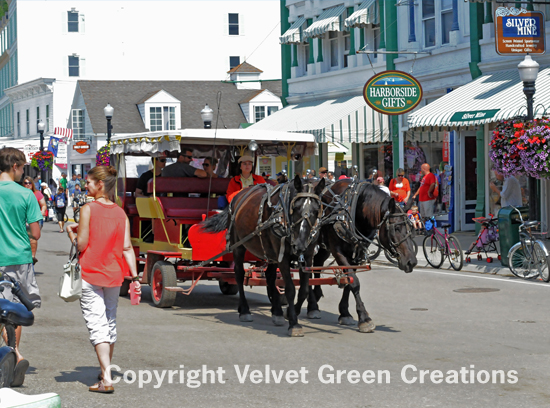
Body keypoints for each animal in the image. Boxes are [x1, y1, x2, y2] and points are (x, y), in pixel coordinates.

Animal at [201, 177, 326, 336]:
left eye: (316, 210)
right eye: (296, 208)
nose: (299, 244)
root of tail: (239, 196)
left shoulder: (307, 257)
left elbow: (303, 290)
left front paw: (289, 313)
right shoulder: (283, 258)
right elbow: (290, 289)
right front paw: (294, 323)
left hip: (271, 253)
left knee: (270, 277)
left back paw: (277, 312)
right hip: (238, 246)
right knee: (239, 275)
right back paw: (245, 310)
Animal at [312, 180, 420, 334]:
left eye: (411, 227)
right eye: (396, 228)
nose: (411, 261)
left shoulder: (355, 255)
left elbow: (349, 281)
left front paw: (345, 313)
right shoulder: (338, 251)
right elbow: (354, 282)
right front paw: (364, 318)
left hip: (323, 246)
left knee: (317, 263)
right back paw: (312, 306)